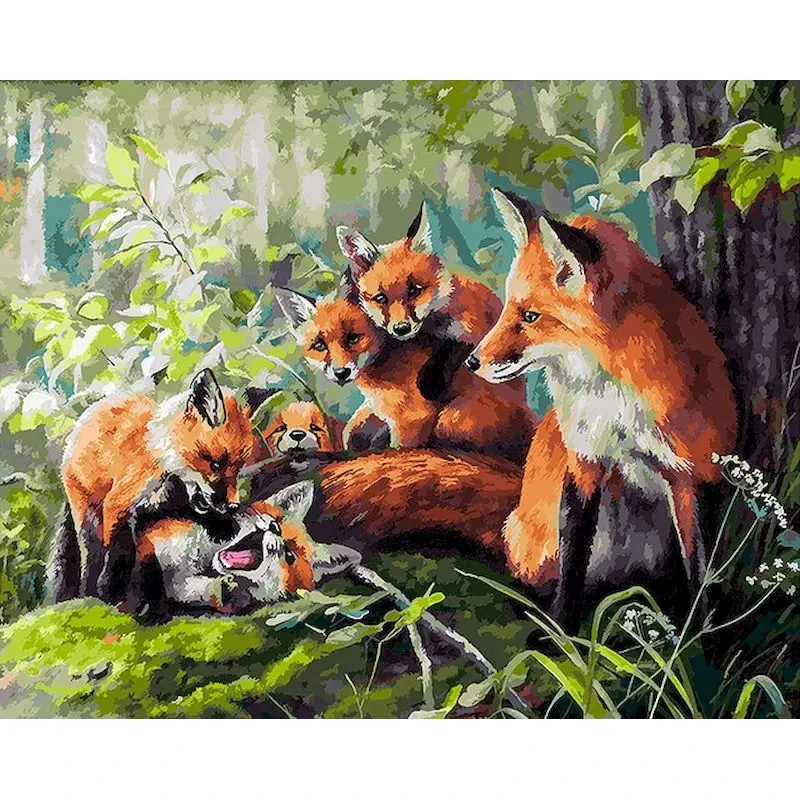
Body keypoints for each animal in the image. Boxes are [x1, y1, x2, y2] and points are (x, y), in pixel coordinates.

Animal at [52, 368, 272, 605]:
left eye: (238, 469)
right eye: (215, 464)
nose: (232, 506)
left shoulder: (167, 502)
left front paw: (221, 524)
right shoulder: (119, 503)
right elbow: (119, 552)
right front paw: (110, 590)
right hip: (88, 518)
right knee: (91, 557)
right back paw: (88, 590)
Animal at [274, 288, 536, 464]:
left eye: (352, 338)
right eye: (319, 345)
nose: (341, 372)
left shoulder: (413, 419)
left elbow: (398, 450)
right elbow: (352, 431)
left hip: (450, 420)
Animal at [337, 202, 527, 403]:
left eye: (414, 290)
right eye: (381, 298)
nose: (401, 328)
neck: (433, 327)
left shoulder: (475, 329)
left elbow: (454, 349)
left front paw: (430, 381)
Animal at [465, 188, 738, 629]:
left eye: (530, 316)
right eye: (508, 308)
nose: (472, 362)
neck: (615, 404)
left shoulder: (692, 470)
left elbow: (700, 571)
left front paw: (702, 636)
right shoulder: (584, 462)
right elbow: (573, 564)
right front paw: (562, 636)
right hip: (553, 536)